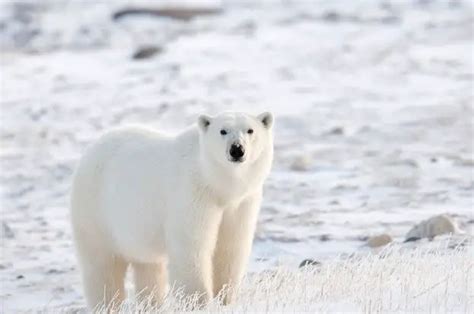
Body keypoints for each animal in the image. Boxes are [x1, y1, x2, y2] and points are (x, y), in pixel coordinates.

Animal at [68, 110, 272, 310]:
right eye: (223, 131)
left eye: (250, 130)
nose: (237, 149)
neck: (216, 185)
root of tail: (91, 149)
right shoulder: (192, 194)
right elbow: (191, 248)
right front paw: (198, 303)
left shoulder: (241, 203)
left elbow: (231, 247)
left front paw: (225, 299)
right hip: (96, 211)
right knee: (102, 266)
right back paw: (107, 305)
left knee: (148, 268)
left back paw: (151, 305)